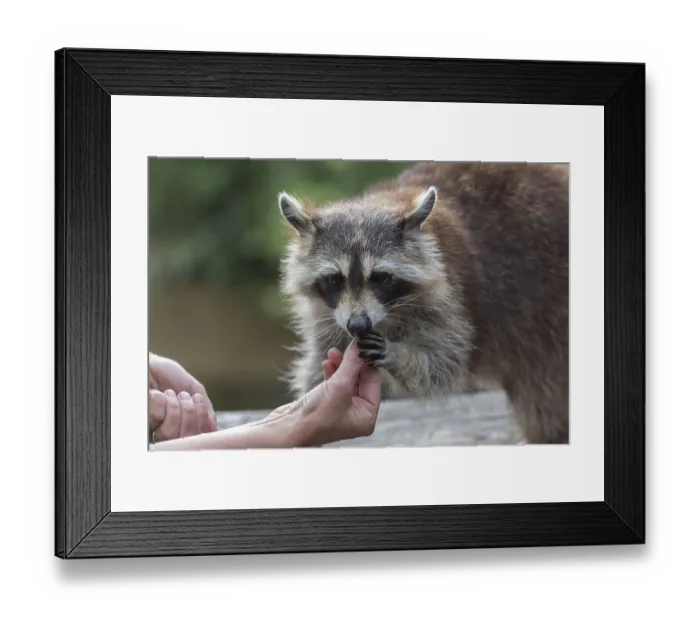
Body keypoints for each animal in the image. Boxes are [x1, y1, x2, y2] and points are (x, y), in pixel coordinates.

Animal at [278, 161, 569, 444]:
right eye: (334, 279)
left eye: (381, 277)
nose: (358, 324)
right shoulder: (325, 313)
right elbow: (319, 356)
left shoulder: (449, 292)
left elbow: (445, 359)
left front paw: (396, 353)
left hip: (549, 305)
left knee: (543, 388)